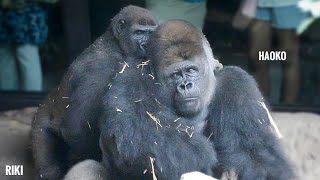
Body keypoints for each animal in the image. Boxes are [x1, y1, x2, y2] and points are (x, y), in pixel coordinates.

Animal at [30, 6, 158, 179]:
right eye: (139, 33)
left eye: (151, 33)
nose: (147, 45)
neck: (114, 42)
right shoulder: (100, 70)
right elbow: (75, 130)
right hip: (40, 125)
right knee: (48, 163)